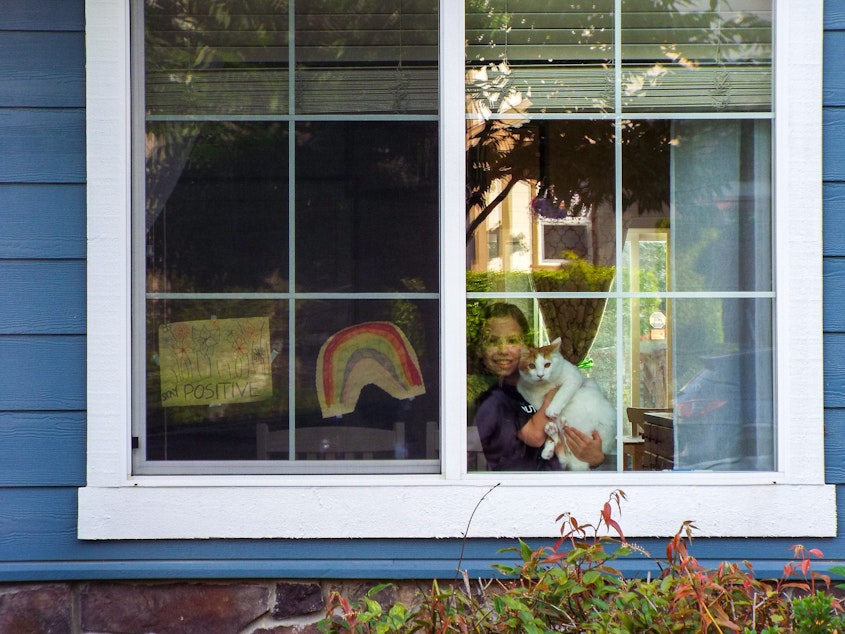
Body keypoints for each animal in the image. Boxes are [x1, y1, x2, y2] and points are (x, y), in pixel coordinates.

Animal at [516, 338, 612, 466]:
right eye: (531, 366)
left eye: (547, 365)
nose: (540, 375)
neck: (544, 386)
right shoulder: (526, 392)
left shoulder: (574, 377)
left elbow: (561, 393)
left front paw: (552, 409)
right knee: (563, 452)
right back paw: (550, 444)